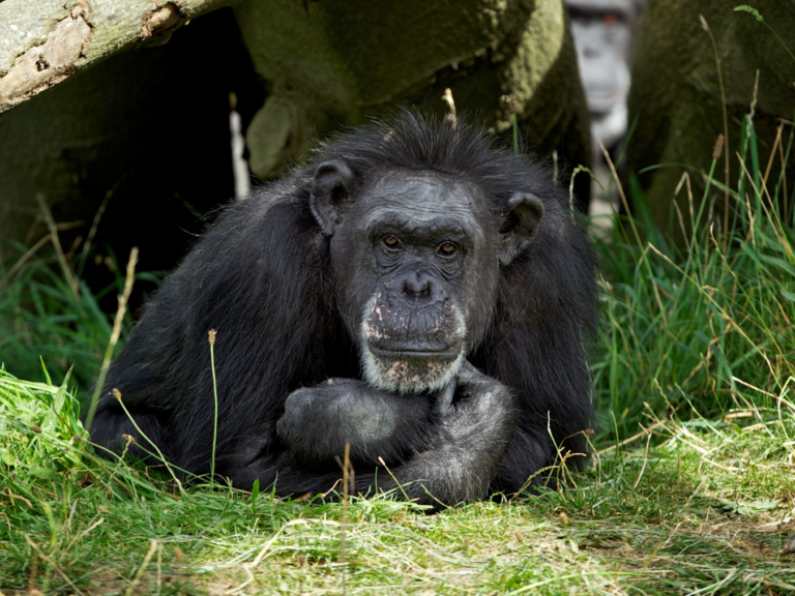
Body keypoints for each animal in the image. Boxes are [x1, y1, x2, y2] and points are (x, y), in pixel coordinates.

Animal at [88, 110, 596, 502]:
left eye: (448, 249)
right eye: (390, 241)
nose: (416, 288)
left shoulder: (545, 280)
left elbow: (544, 444)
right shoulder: (261, 267)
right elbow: (239, 463)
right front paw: (410, 423)